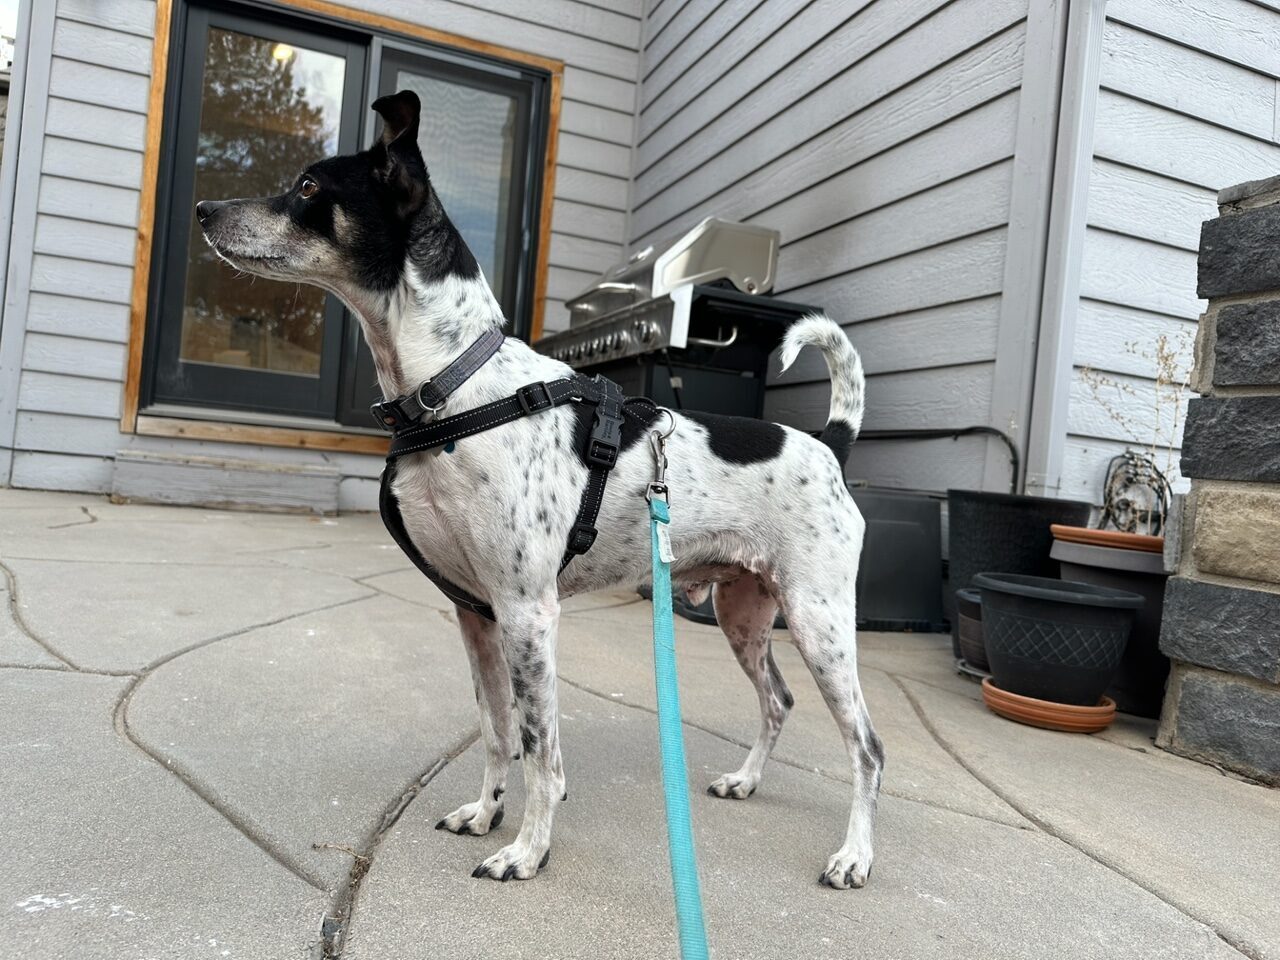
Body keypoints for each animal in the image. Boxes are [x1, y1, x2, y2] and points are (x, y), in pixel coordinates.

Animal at [197, 94, 880, 890]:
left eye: (308, 187)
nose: (206, 208)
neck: (454, 388)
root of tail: (828, 443)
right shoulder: (477, 613)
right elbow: (499, 733)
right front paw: (484, 812)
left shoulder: (528, 613)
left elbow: (541, 751)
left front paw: (528, 850)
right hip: (744, 612)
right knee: (778, 700)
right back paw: (746, 781)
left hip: (818, 620)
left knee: (867, 748)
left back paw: (855, 856)